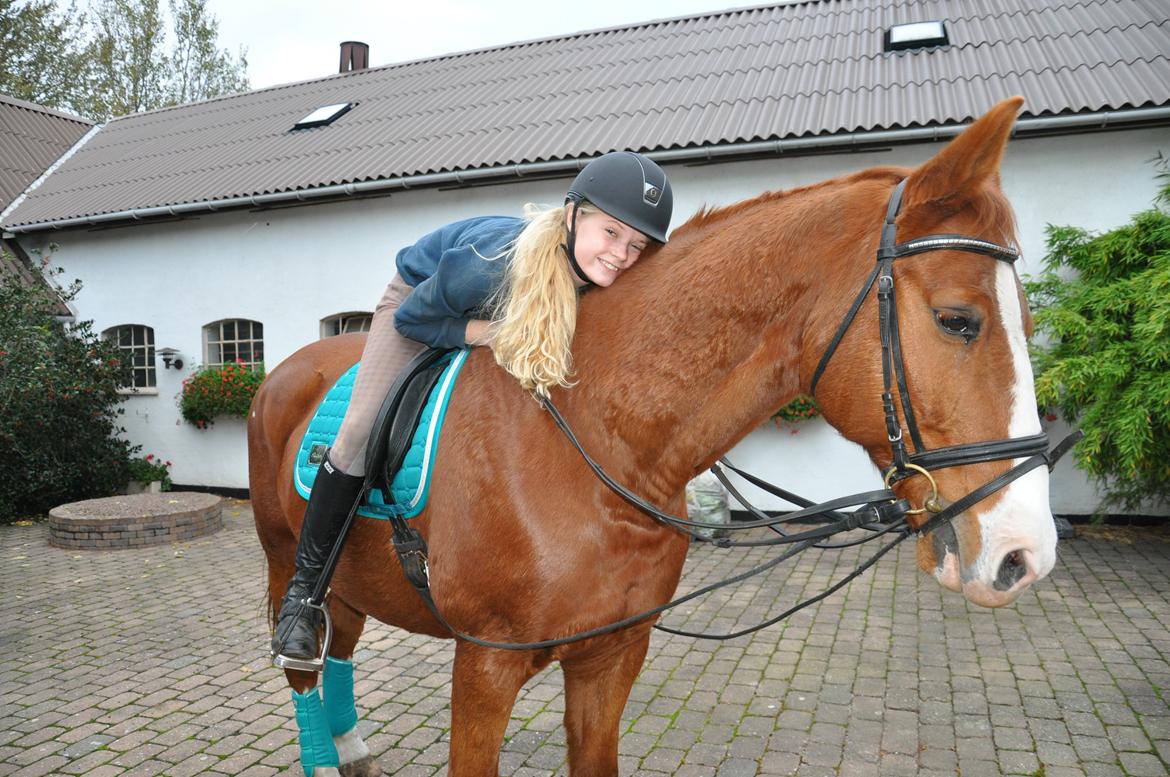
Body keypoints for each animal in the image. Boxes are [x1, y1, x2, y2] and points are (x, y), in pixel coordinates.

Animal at [249, 97, 1056, 777]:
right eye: (959, 320)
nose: (1025, 555)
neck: (601, 442)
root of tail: (284, 369)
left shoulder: (612, 656)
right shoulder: (485, 665)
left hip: (354, 584)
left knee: (340, 653)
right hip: (288, 558)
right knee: (304, 663)